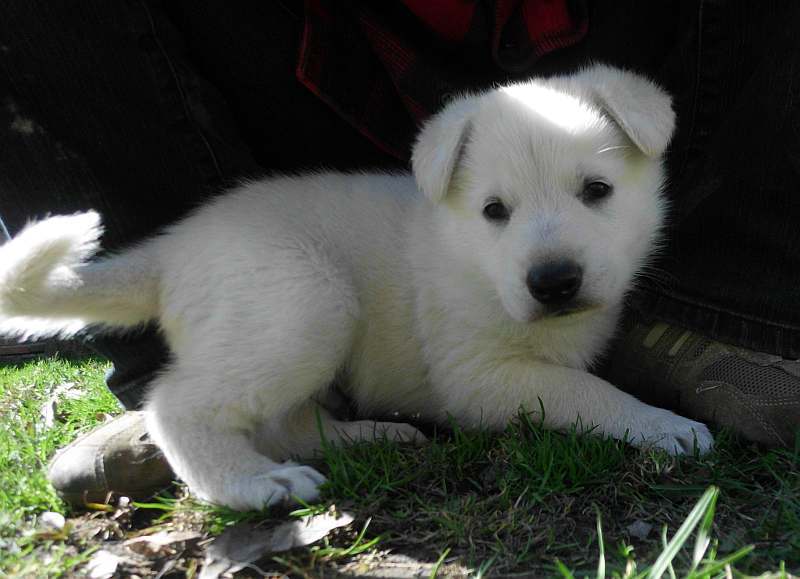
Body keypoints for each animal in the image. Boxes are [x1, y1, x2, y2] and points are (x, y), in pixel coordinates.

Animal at [0, 64, 712, 512]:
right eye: (494, 210)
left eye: (597, 191)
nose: (554, 282)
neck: (475, 263)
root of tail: (172, 250)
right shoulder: (479, 377)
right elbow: (584, 389)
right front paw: (662, 425)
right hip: (306, 304)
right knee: (178, 405)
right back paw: (254, 486)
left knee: (286, 422)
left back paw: (373, 437)